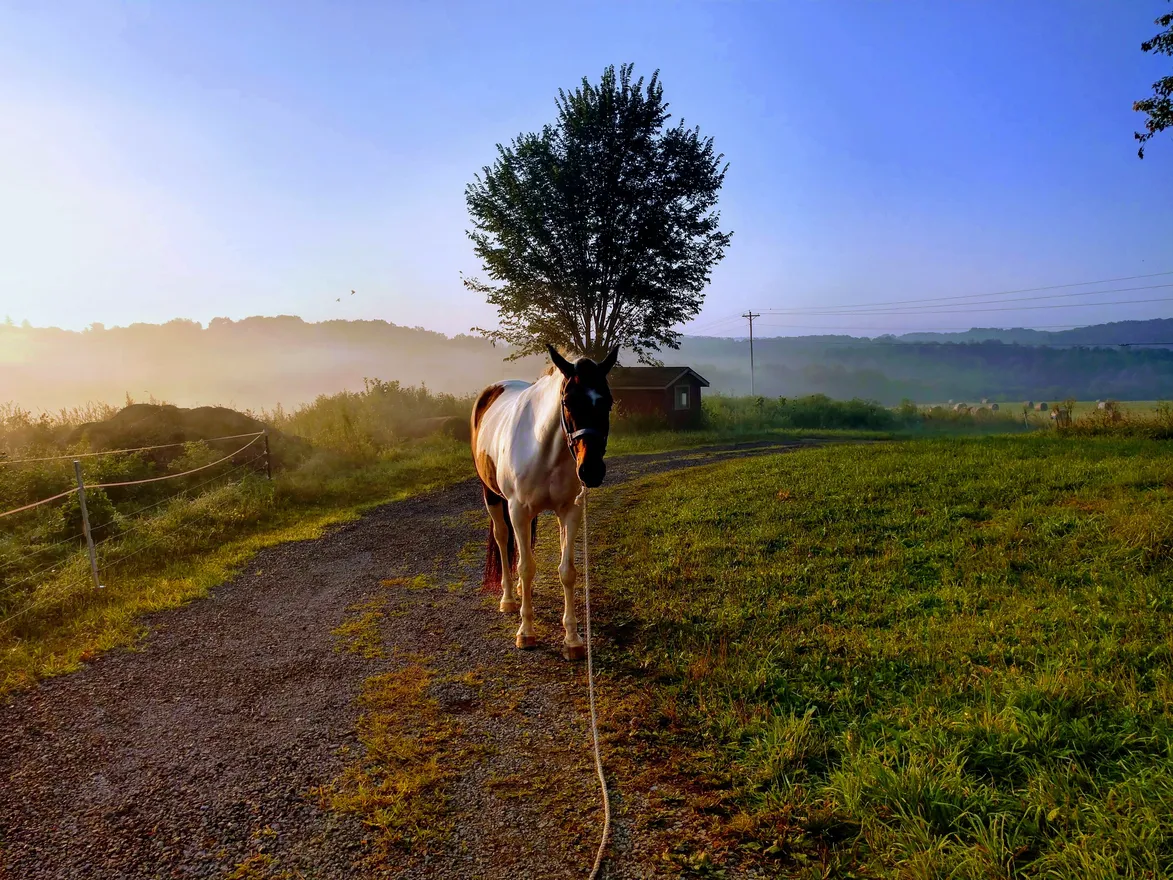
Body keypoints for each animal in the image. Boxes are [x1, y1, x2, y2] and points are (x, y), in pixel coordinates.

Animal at [470, 344, 619, 660]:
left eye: (608, 402)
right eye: (568, 401)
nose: (591, 470)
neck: (545, 448)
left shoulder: (570, 511)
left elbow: (567, 571)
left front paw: (572, 639)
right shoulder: (518, 511)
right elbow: (526, 567)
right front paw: (526, 632)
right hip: (493, 497)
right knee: (503, 540)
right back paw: (508, 598)